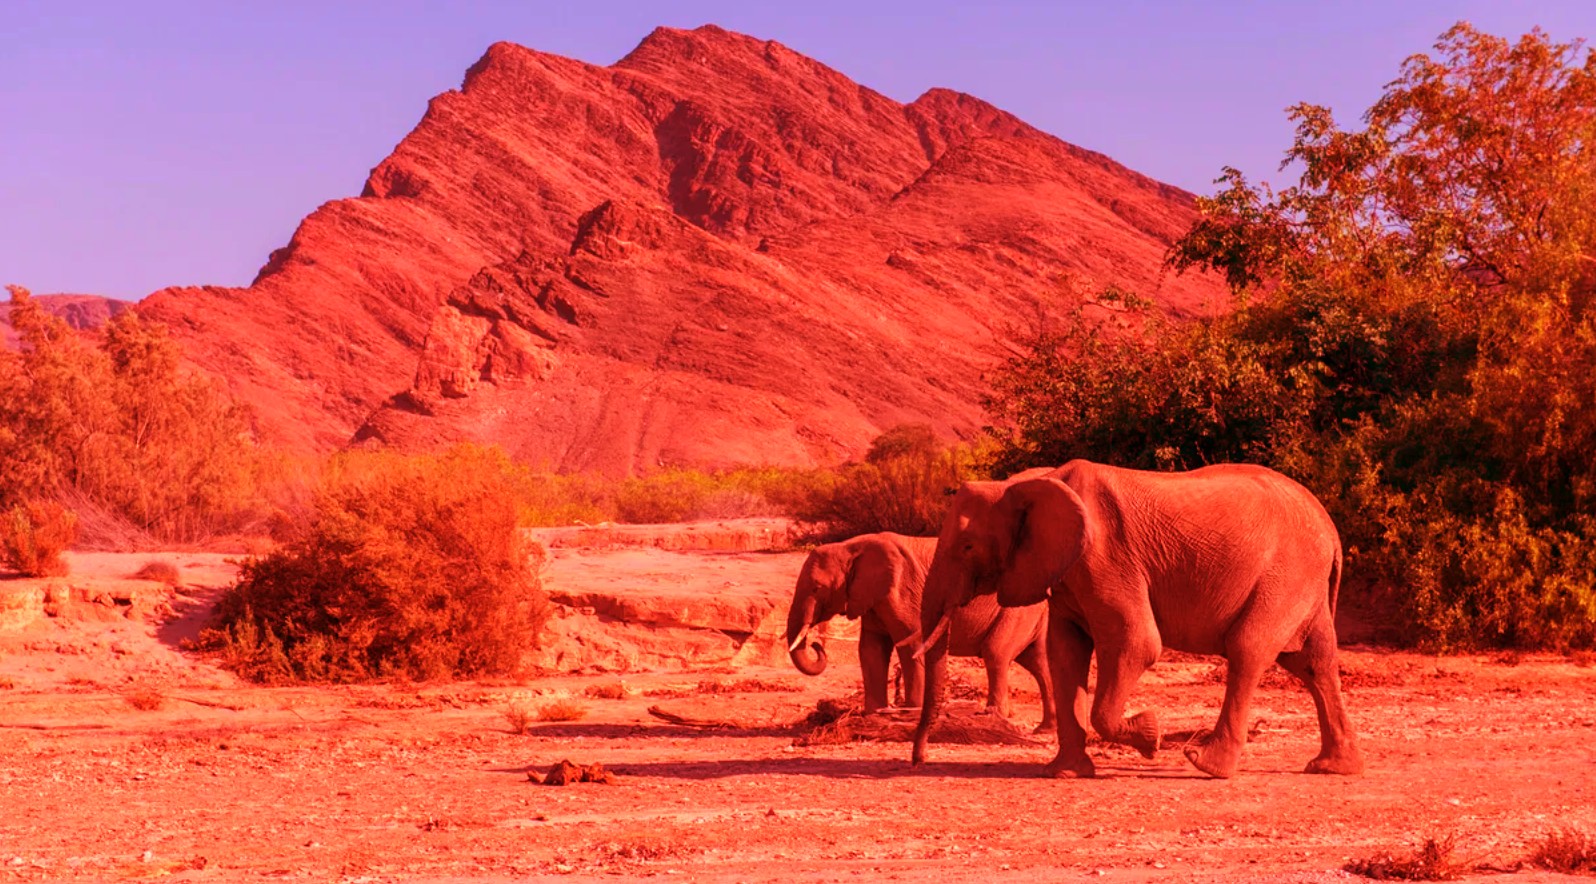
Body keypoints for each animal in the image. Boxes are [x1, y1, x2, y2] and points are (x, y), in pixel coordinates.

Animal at [785, 526, 1059, 724]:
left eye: (816, 588)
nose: (817, 645)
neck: (850, 547)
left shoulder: (901, 591)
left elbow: (910, 645)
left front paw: (911, 711)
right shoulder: (871, 597)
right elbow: (871, 650)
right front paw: (873, 715)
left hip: (1017, 609)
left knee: (996, 653)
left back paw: (995, 716)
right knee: (1039, 661)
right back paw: (1045, 728)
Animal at [919, 456, 1366, 775]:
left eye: (967, 547)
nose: (917, 761)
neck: (1029, 482)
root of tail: (1331, 531)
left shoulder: (1107, 559)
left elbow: (1136, 644)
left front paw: (1151, 737)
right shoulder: (1067, 573)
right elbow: (1065, 655)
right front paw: (1065, 773)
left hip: (1285, 575)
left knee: (1249, 650)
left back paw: (1206, 764)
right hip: (1301, 583)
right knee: (1313, 663)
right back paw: (1332, 768)